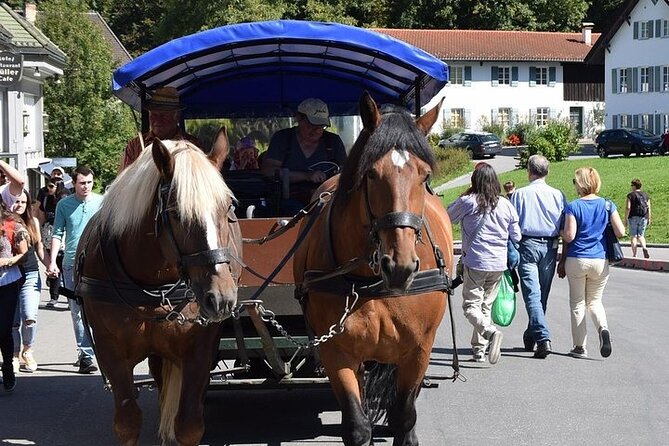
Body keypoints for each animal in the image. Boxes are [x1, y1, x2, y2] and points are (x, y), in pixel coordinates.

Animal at [75, 136, 240, 446]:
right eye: (176, 213)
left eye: (227, 208)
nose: (221, 298)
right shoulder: (110, 350)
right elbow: (128, 423)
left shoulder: (200, 348)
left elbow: (189, 425)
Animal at [294, 92, 454, 444]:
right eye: (371, 174)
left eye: (425, 176)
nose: (400, 266)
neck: (370, 281)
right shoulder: (337, 351)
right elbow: (356, 425)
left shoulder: (418, 350)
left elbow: (404, 417)